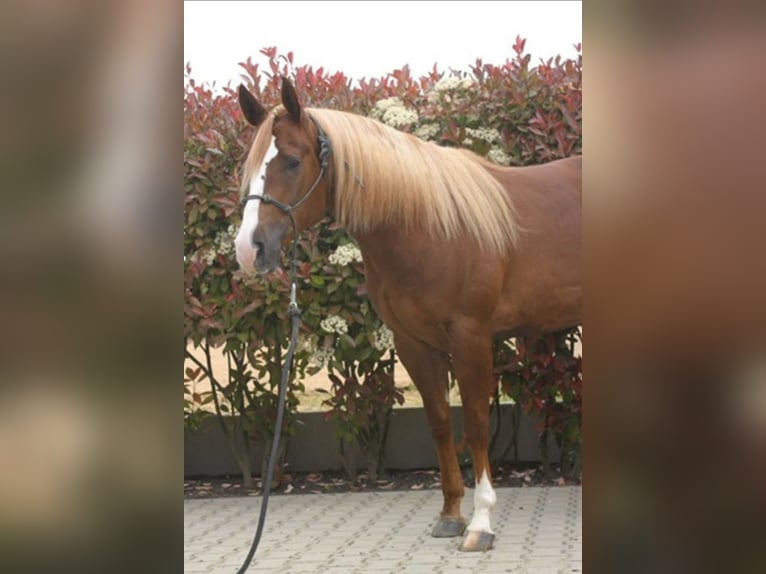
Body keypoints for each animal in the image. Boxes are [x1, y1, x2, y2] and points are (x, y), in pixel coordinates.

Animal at [233, 77, 582, 552]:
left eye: (291, 161)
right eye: (250, 167)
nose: (249, 250)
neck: (430, 225)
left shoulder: (470, 337)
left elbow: (475, 425)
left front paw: (481, 523)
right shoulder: (414, 343)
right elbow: (440, 424)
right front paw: (451, 514)